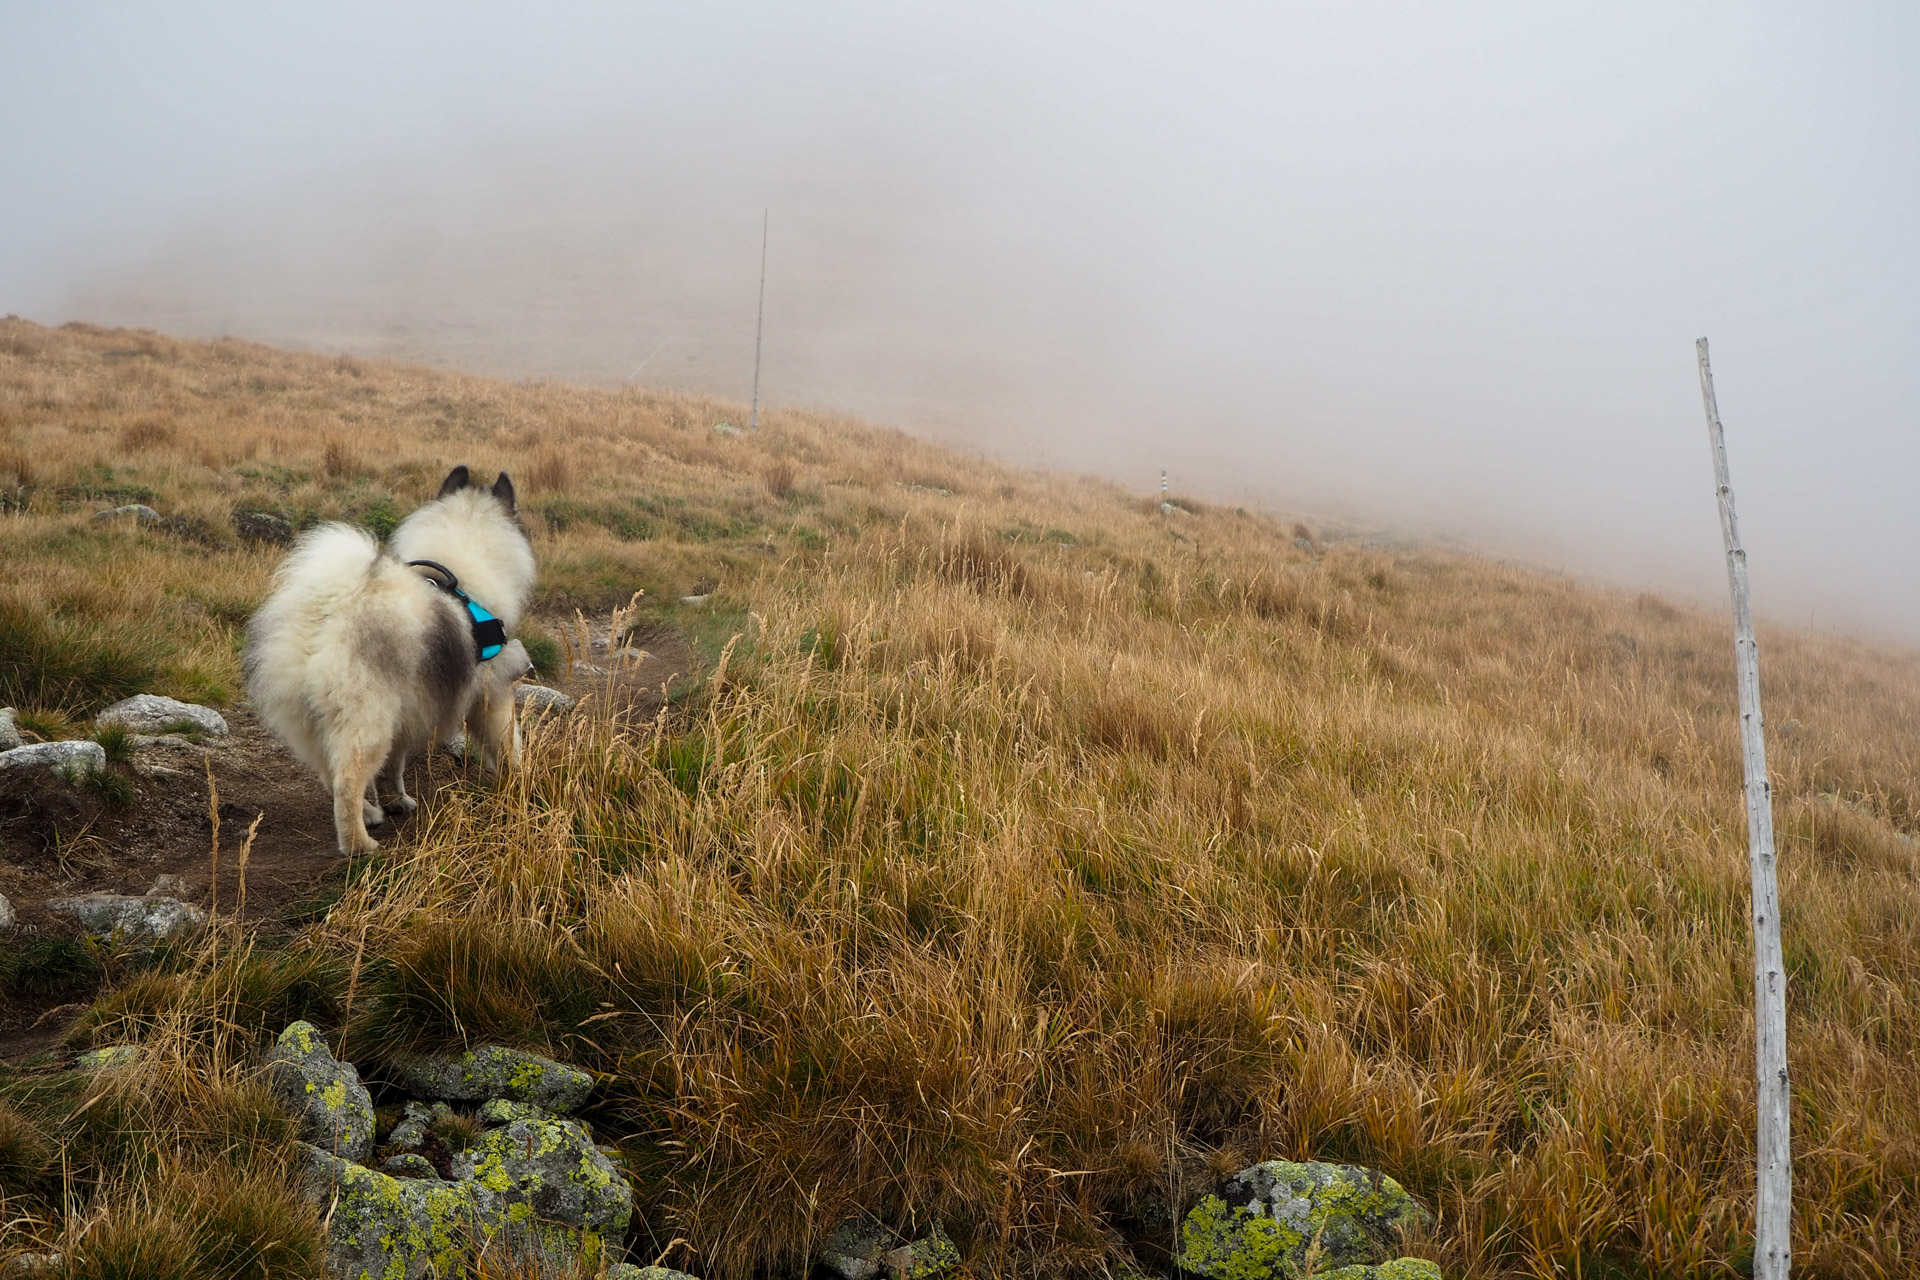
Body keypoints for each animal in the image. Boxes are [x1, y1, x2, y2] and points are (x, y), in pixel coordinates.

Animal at [245, 466, 541, 855]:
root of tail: (327, 613)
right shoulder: (492, 694)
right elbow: (508, 743)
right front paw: (519, 781)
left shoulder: (409, 707)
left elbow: (393, 767)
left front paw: (395, 801)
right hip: (368, 721)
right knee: (346, 782)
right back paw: (359, 844)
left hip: (314, 722)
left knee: (330, 773)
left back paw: (371, 813)